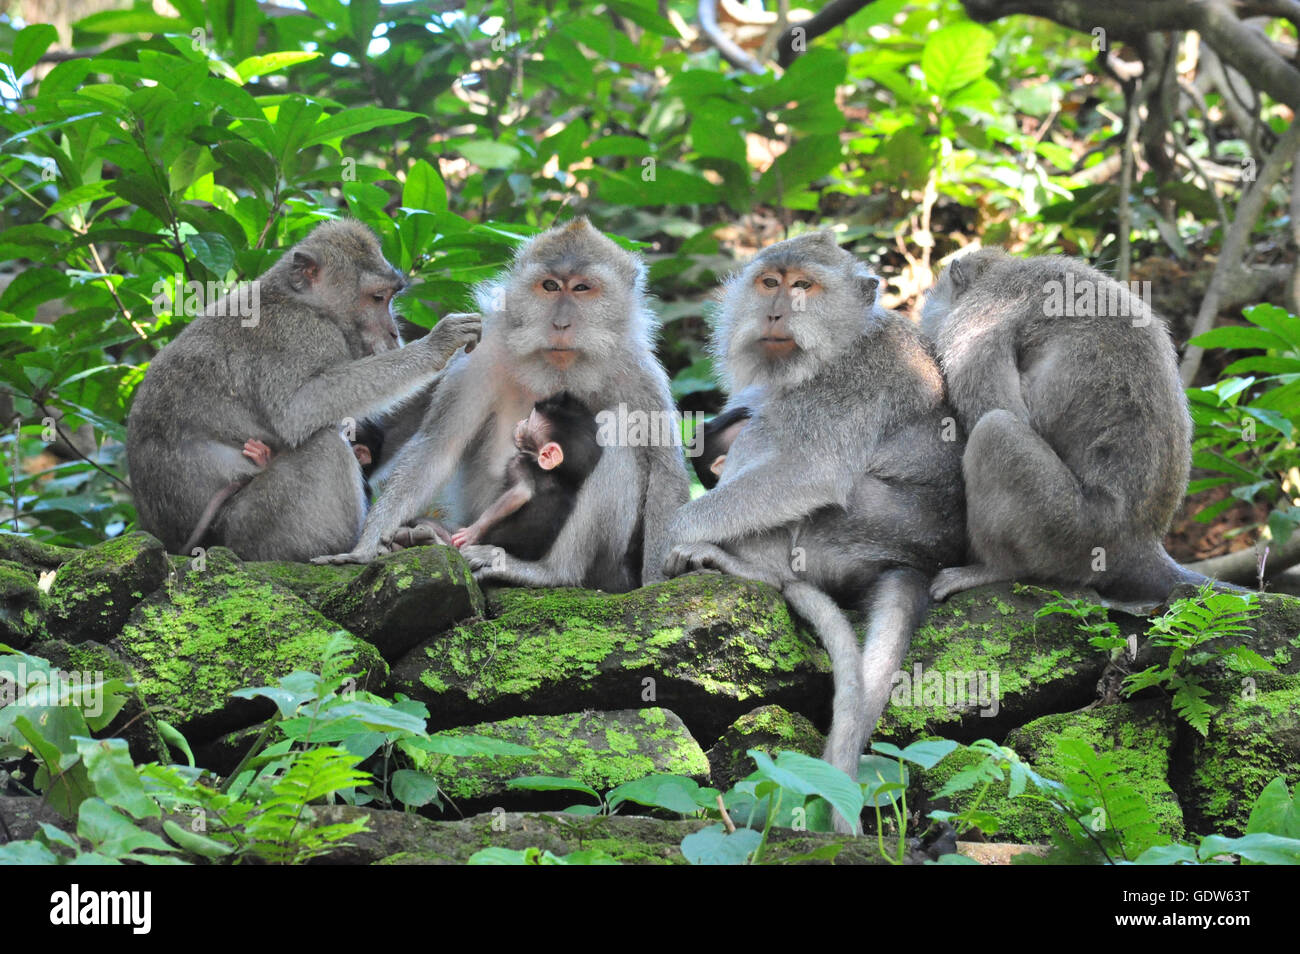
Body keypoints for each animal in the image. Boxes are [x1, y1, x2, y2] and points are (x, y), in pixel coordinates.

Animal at [126, 218, 480, 561]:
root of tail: (170, 541)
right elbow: (299, 410)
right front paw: (436, 347)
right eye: (378, 298)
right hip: (252, 526)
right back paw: (351, 548)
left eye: (390, 297)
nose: (394, 333)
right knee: (325, 444)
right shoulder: (300, 334)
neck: (299, 299)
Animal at [452, 395, 603, 564]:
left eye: (529, 421)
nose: (520, 422)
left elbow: (520, 493)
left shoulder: (520, 462)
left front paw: (472, 531)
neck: (559, 474)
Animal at [665, 230, 961, 831]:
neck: (834, 347)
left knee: (775, 443)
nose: (777, 311)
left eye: (803, 285)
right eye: (769, 283)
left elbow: (811, 469)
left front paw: (668, 532)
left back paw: (748, 567)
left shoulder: (851, 383)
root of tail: (919, 563)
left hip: (854, 531)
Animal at [920, 248, 1222, 605]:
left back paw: (994, 568)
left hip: (1070, 529)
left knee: (996, 430)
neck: (1001, 271)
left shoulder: (979, 318)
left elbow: (998, 406)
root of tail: (1139, 543)